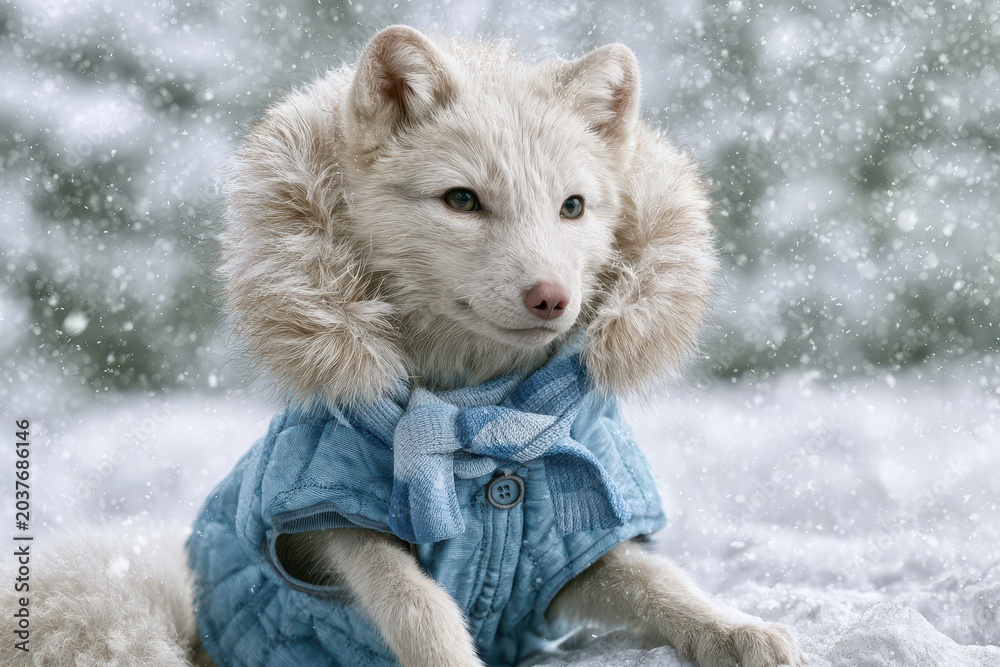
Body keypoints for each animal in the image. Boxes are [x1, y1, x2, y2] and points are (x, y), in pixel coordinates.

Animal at [2, 25, 805, 667]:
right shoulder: (323, 524)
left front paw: (739, 630)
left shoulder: (573, 555)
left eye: (573, 207)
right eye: (462, 200)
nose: (552, 297)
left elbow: (666, 584)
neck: (479, 411)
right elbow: (418, 602)